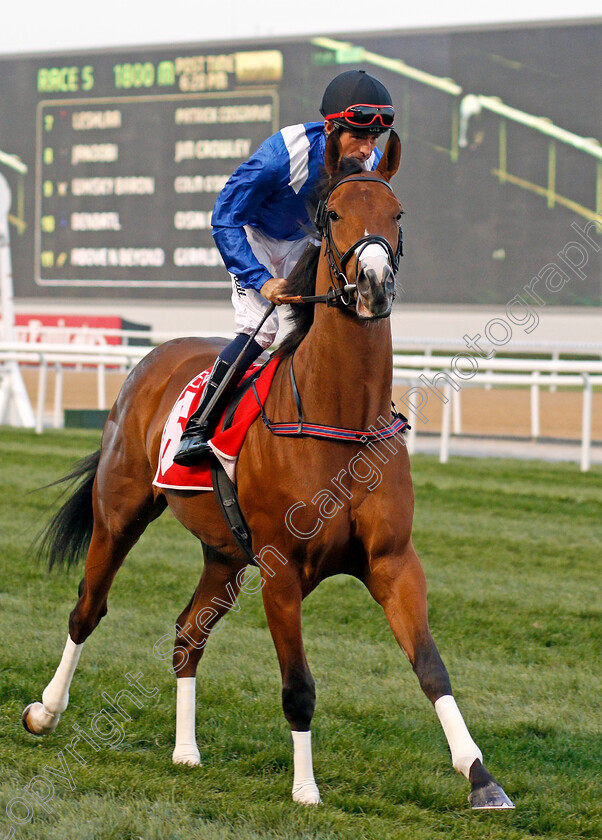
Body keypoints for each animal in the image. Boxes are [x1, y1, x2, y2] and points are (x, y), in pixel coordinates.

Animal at [22, 130, 510, 808]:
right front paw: (306, 789)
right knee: (87, 609)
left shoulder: (392, 560)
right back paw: (45, 711)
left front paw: (481, 778)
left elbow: (431, 666)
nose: (374, 284)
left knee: (187, 634)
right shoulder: (281, 568)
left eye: (398, 214)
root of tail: (150, 361)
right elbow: (298, 684)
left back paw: (185, 751)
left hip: (225, 553)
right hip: (119, 514)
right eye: (333, 214)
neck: (340, 418)